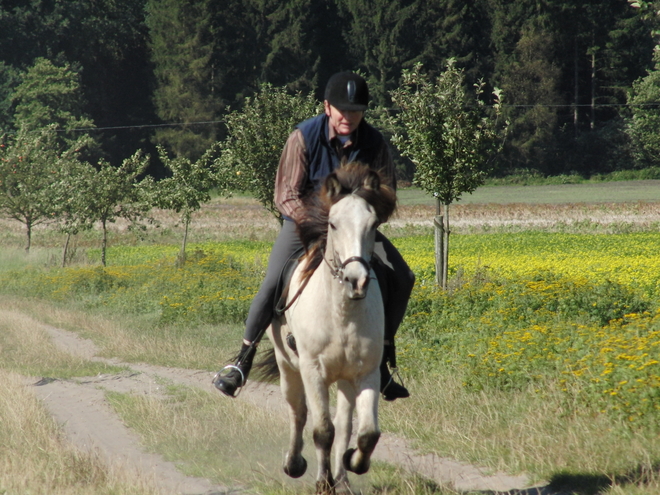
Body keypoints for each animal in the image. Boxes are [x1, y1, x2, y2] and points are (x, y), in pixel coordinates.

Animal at [262, 164, 398, 495]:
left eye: (373, 224)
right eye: (333, 224)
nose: (356, 280)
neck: (342, 314)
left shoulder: (367, 373)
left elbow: (367, 433)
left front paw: (353, 462)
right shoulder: (313, 371)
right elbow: (322, 429)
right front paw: (323, 483)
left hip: (346, 379)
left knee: (346, 423)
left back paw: (343, 479)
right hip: (288, 367)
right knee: (298, 411)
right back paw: (294, 464)